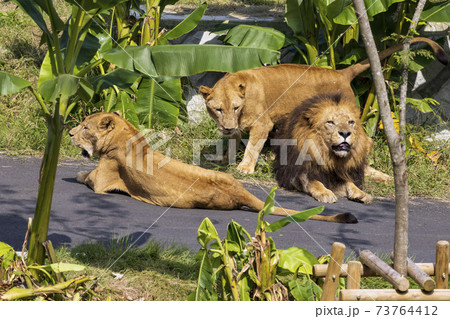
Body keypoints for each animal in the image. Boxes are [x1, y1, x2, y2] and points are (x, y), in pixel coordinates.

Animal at [69, 114, 358, 224]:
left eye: (85, 127)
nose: (70, 133)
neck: (125, 133)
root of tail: (239, 190)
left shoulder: (102, 181)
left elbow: (86, 176)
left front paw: (75, 174)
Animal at [200, 37, 446, 175]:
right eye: (218, 109)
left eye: (235, 107)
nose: (227, 127)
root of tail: (342, 72)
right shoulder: (234, 128)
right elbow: (232, 143)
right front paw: (225, 159)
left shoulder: (263, 124)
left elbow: (252, 147)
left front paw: (245, 168)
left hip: (348, 117)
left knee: (366, 139)